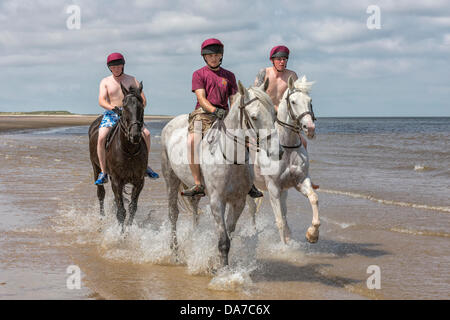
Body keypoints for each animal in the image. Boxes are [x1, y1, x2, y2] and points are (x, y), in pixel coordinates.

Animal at [86, 81, 146, 229]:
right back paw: (102, 217)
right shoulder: (117, 181)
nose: (135, 135)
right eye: (124, 107)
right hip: (96, 167)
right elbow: (121, 212)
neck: (129, 150)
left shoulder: (139, 181)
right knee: (101, 194)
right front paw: (121, 233)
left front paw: (129, 229)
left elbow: (132, 208)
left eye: (141, 106)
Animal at [160, 79, 276, 268]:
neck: (230, 158)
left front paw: (217, 263)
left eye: (274, 114)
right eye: (254, 117)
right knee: (173, 214)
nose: (275, 150)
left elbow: (229, 235)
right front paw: (222, 271)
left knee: (194, 210)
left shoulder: (238, 202)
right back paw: (175, 254)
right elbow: (223, 241)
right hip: (170, 179)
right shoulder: (217, 201)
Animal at [246, 75, 320, 245]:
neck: (287, 147)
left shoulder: (300, 181)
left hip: (283, 191)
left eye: (310, 100)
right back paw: (252, 232)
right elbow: (279, 220)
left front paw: (312, 234)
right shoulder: (273, 188)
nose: (310, 128)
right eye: (293, 101)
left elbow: (313, 198)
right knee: (252, 210)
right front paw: (284, 248)